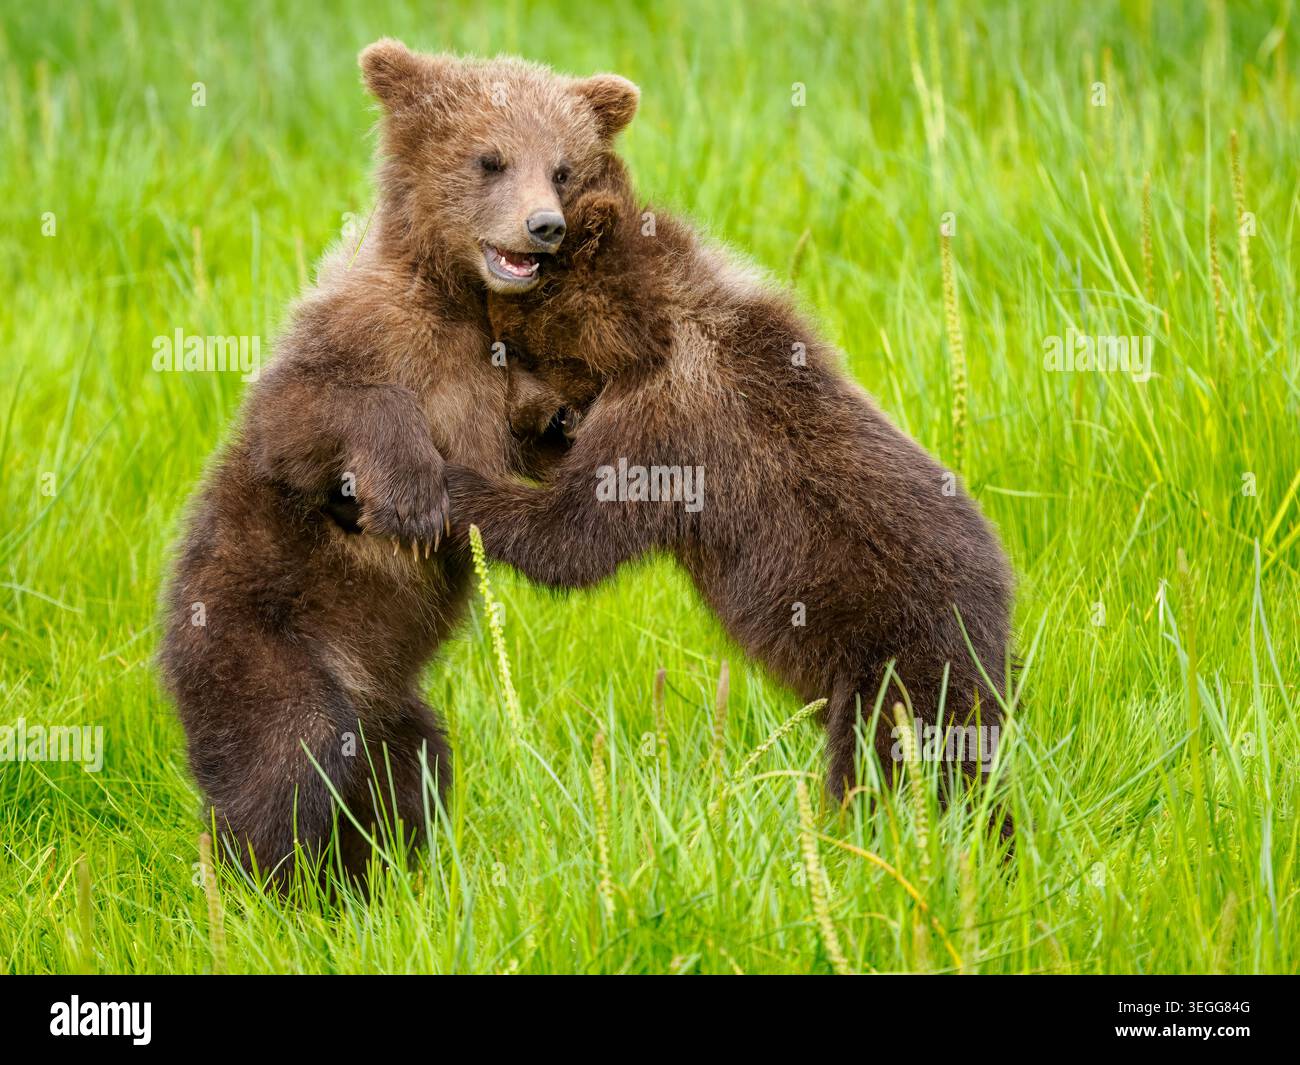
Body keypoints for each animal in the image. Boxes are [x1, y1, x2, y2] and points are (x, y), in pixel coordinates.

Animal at [158, 39, 640, 890]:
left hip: (392, 705)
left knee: (411, 766)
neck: (463, 301)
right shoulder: (357, 335)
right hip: (252, 633)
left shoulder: (502, 379)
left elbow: (543, 432)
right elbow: (307, 413)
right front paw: (412, 493)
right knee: (287, 752)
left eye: (564, 168)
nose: (543, 226)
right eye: (490, 158)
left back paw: (385, 874)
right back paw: (263, 884)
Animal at [447, 166, 1016, 825]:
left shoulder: (666, 427)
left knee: (898, 758)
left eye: (511, 346)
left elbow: (570, 538)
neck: (652, 332)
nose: (513, 422)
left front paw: (430, 480)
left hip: (899, 654)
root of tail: (1003, 597)